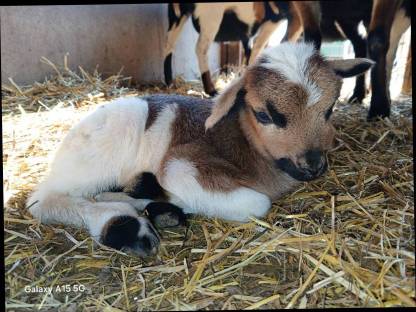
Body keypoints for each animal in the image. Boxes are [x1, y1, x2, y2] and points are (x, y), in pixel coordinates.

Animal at [162, 1, 290, 95]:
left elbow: (249, 50)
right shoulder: (273, 20)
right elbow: (258, 47)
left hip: (177, 16)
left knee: (169, 43)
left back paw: (170, 82)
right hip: (211, 18)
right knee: (201, 47)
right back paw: (211, 90)